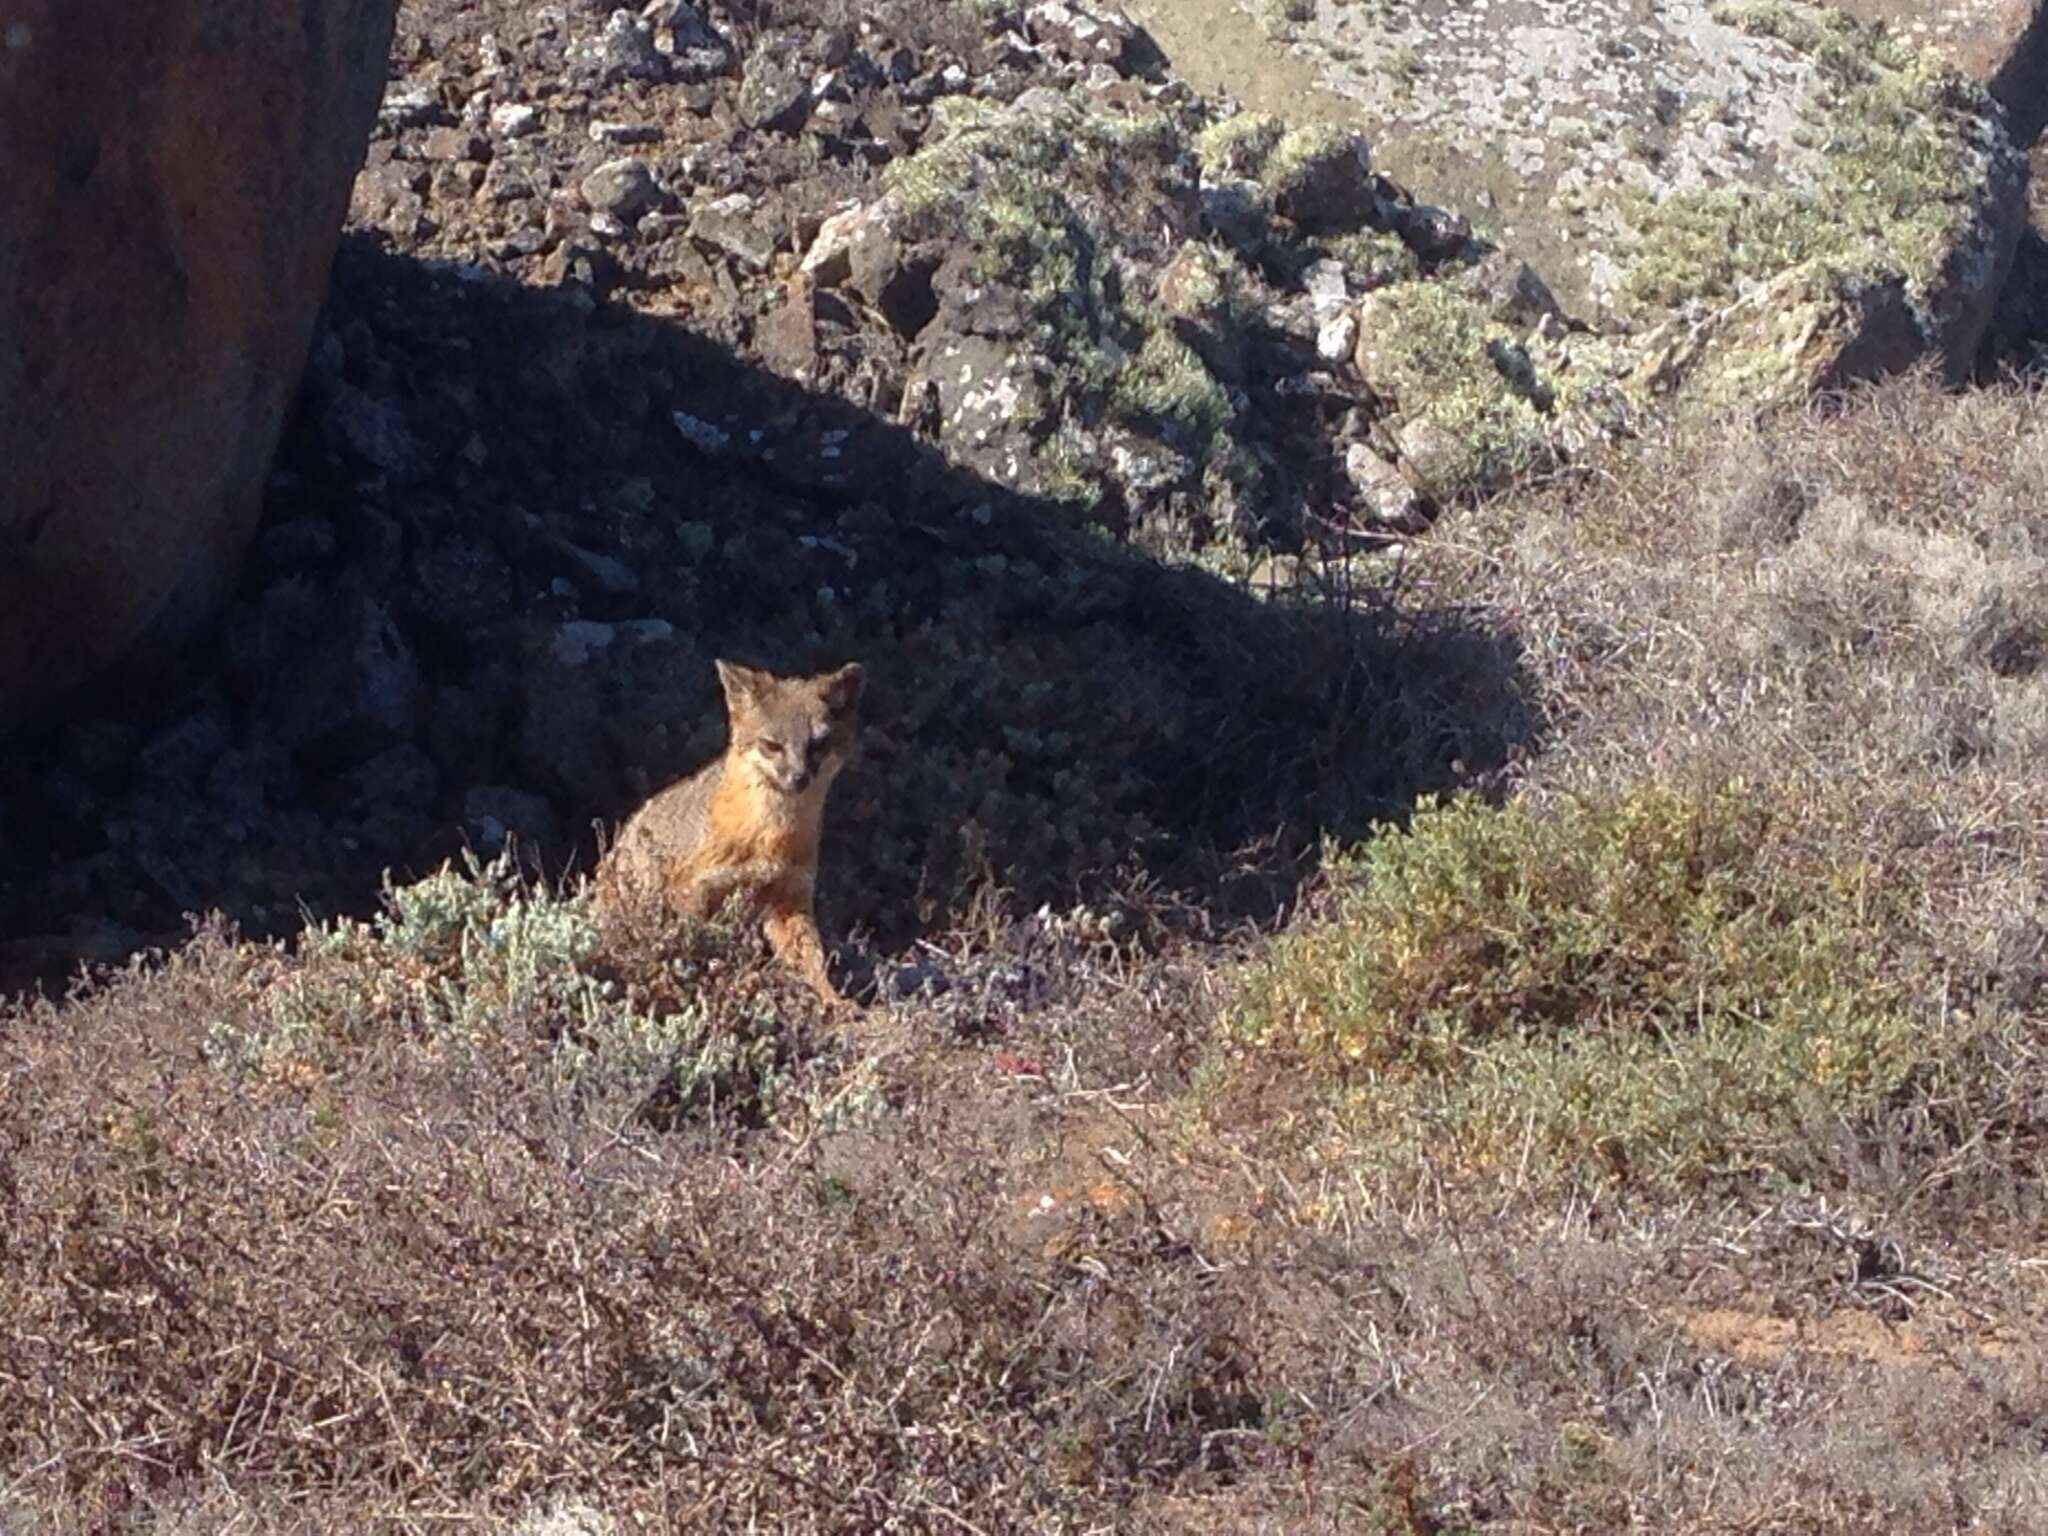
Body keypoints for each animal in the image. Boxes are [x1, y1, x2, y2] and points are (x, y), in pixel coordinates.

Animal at [602, 659, 868, 1011]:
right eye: (772, 745)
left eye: (818, 744)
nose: (799, 778)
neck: (770, 837)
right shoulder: (696, 889)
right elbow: (697, 948)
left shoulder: (789, 896)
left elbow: (811, 960)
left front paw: (833, 1001)